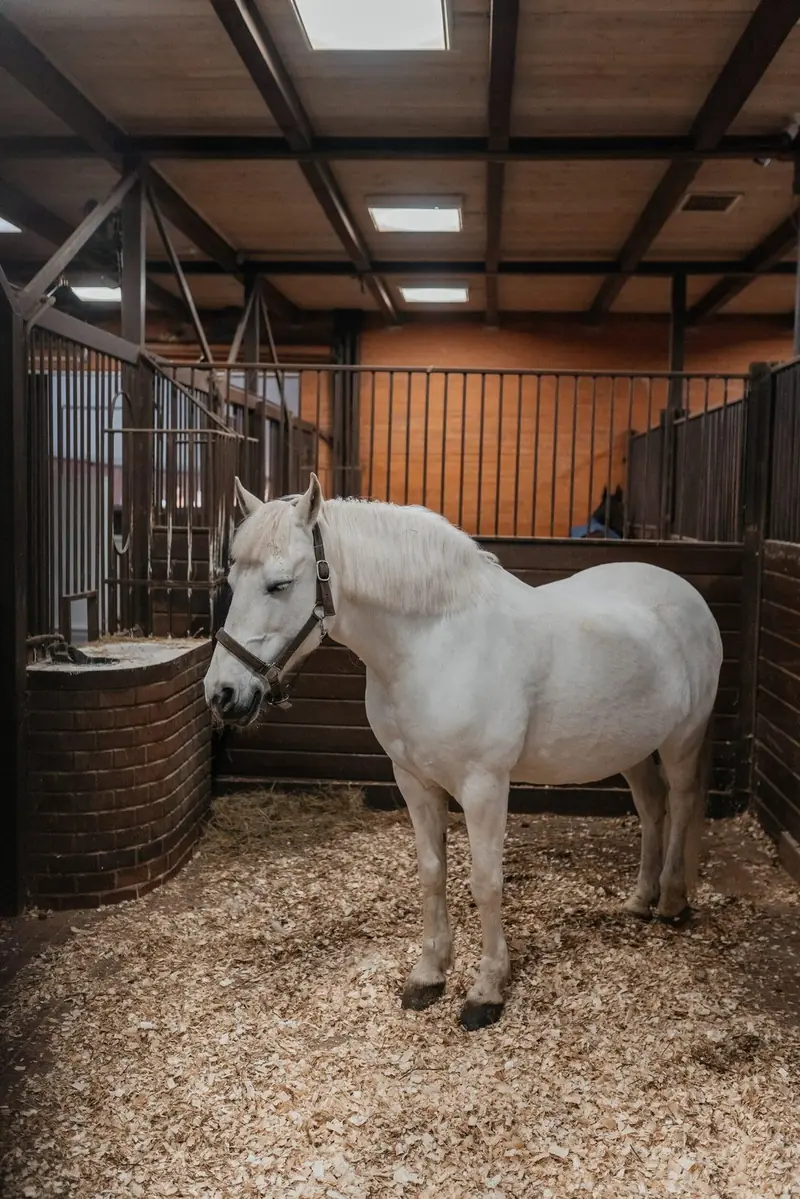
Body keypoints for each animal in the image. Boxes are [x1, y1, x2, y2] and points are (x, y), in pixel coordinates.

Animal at [205, 475, 723, 1031]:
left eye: (279, 584)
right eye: (232, 580)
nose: (222, 694)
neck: (435, 643)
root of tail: (685, 592)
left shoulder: (484, 785)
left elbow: (485, 881)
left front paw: (486, 990)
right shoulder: (413, 780)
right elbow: (432, 873)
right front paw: (429, 975)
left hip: (681, 740)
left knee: (682, 803)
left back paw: (672, 902)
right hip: (631, 748)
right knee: (652, 808)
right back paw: (640, 900)